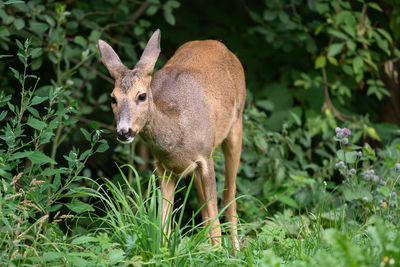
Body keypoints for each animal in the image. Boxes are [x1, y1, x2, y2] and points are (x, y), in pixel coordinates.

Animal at [98, 29, 245, 253]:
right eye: (113, 98)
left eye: (142, 96)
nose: (124, 132)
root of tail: (218, 44)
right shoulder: (163, 167)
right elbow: (164, 224)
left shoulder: (205, 156)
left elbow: (215, 220)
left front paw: (219, 253)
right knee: (204, 207)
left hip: (237, 124)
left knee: (229, 195)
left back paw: (236, 251)